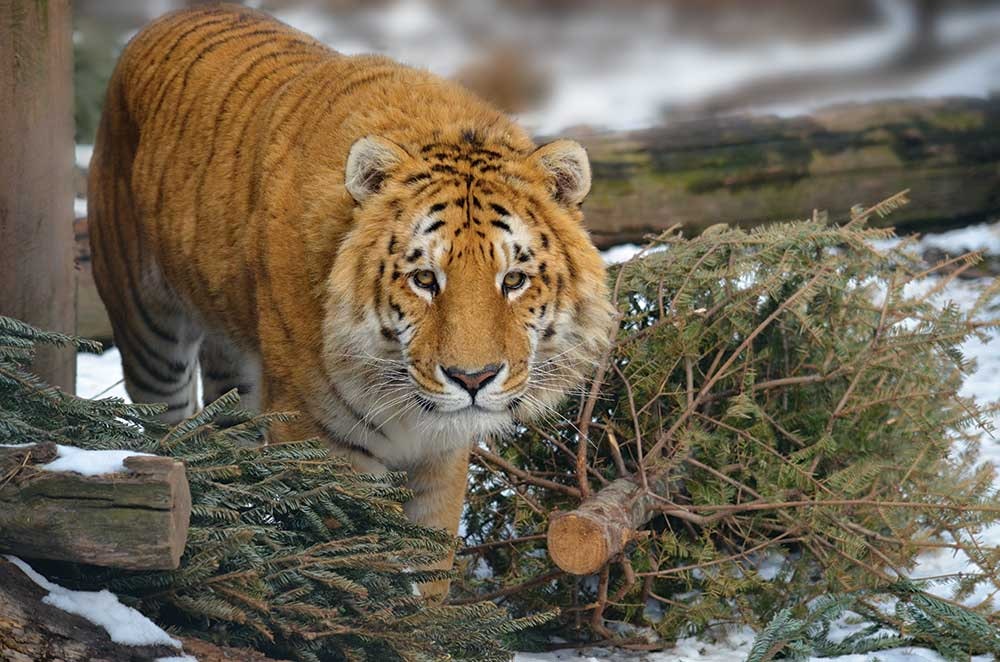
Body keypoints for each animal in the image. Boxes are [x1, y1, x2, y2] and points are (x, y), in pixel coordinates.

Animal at [88, 4, 615, 598]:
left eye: (514, 280)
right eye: (425, 279)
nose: (473, 379)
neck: (409, 404)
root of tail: (171, 17)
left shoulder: (442, 455)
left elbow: (430, 561)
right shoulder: (319, 439)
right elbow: (350, 558)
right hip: (148, 332)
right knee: (168, 432)